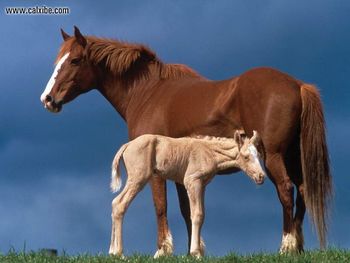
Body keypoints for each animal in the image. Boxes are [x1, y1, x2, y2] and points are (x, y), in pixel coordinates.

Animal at [109, 130, 266, 258]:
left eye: (258, 155)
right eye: (246, 157)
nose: (261, 177)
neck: (210, 152)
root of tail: (127, 145)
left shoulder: (202, 185)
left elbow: (201, 215)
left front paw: (197, 252)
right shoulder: (192, 181)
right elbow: (196, 214)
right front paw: (196, 253)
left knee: (115, 203)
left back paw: (112, 251)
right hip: (138, 178)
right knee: (120, 204)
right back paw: (120, 253)